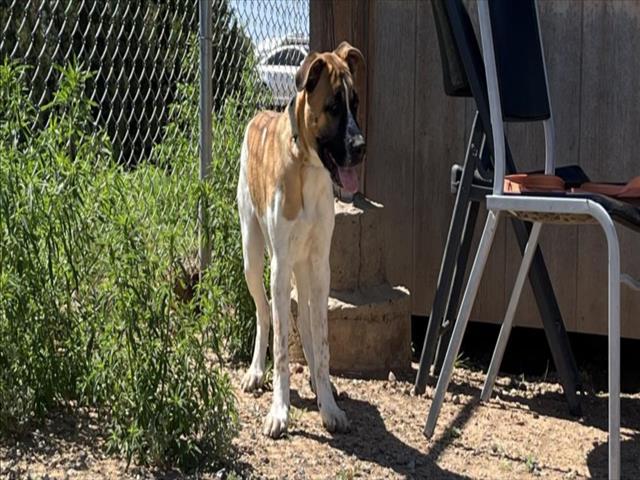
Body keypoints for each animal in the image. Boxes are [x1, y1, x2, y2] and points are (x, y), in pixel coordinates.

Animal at [235, 42, 364, 438]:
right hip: (253, 258)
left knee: (306, 322)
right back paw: (255, 371)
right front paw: (280, 411)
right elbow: (280, 347)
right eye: (334, 106)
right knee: (264, 314)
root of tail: (259, 114)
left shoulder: (321, 266)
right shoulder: (278, 269)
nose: (361, 146)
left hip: (305, 270)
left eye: (356, 103)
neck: (307, 167)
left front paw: (329, 405)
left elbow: (321, 342)